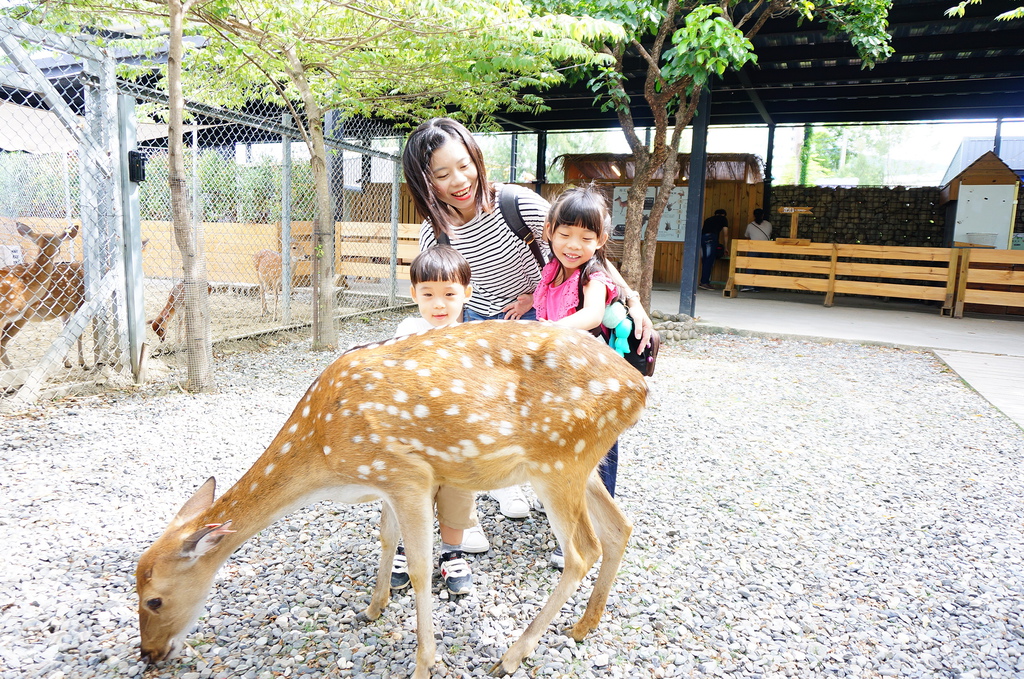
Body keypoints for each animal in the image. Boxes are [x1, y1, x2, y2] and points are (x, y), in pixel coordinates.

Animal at [136, 319, 647, 679]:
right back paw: (583, 626)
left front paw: (424, 663)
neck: (325, 455)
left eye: (154, 600)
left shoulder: (407, 474)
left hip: (559, 459)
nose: (149, 654)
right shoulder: (385, 480)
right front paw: (372, 608)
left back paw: (510, 656)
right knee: (620, 527)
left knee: (582, 551)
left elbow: (420, 569)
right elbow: (385, 541)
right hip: (583, 463)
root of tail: (640, 388)